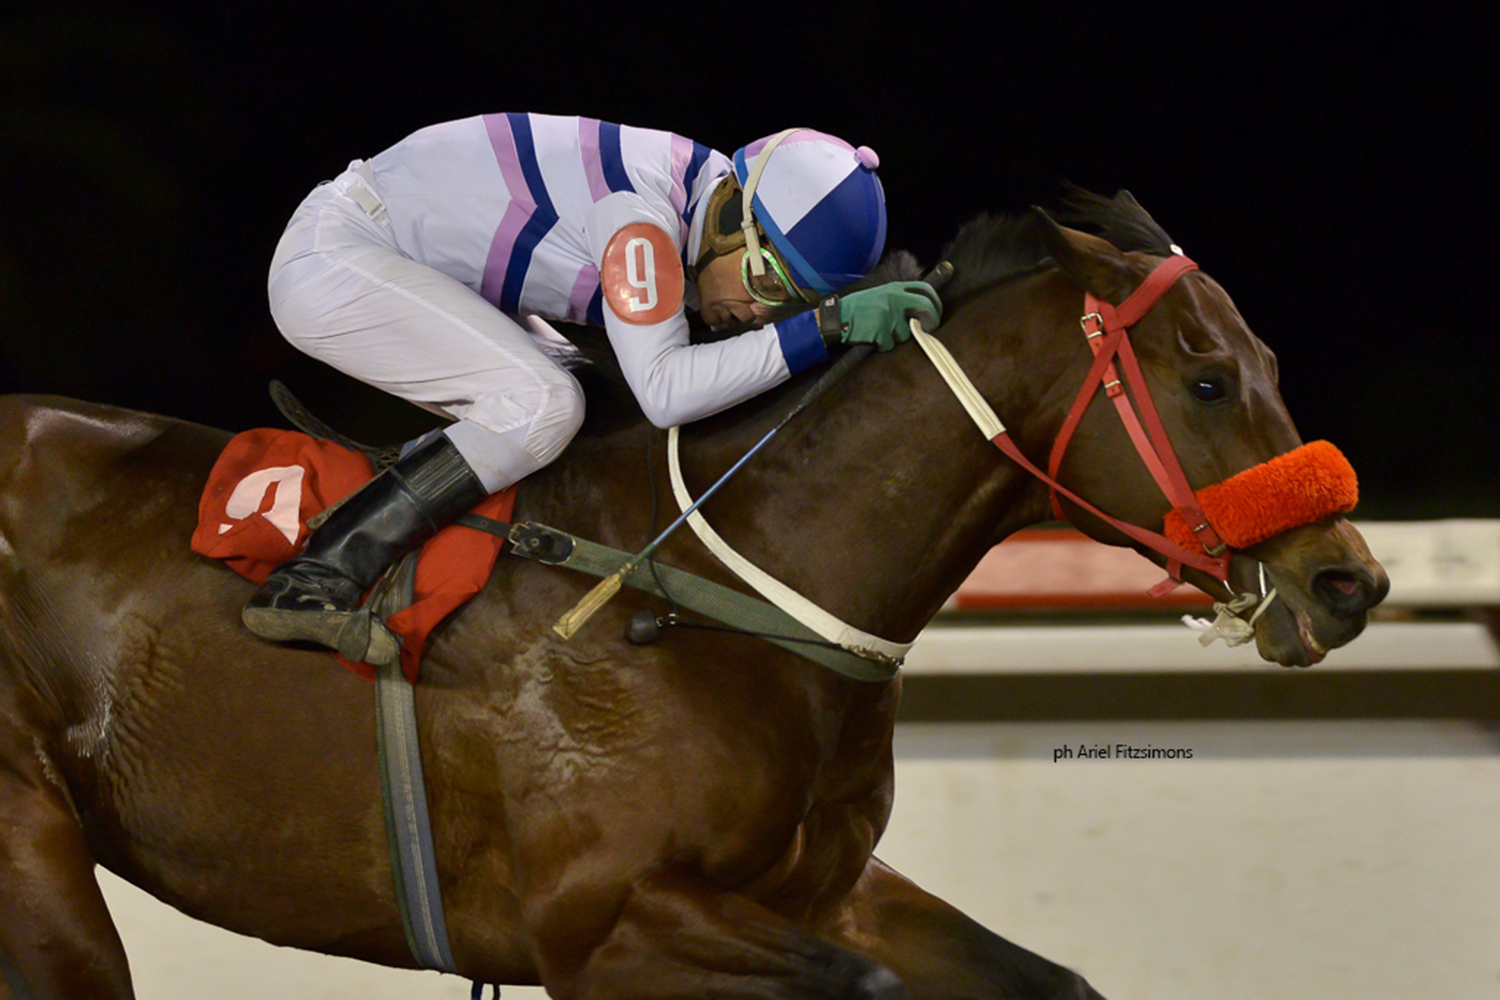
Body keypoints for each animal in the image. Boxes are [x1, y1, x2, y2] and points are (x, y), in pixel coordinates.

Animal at [0, 191, 1387, 999]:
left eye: (1265, 361)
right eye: (1207, 379)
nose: (1348, 580)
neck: (720, 588)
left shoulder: (820, 888)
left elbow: (1047, 983)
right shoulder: (600, 920)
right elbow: (861, 989)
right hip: (38, 867)